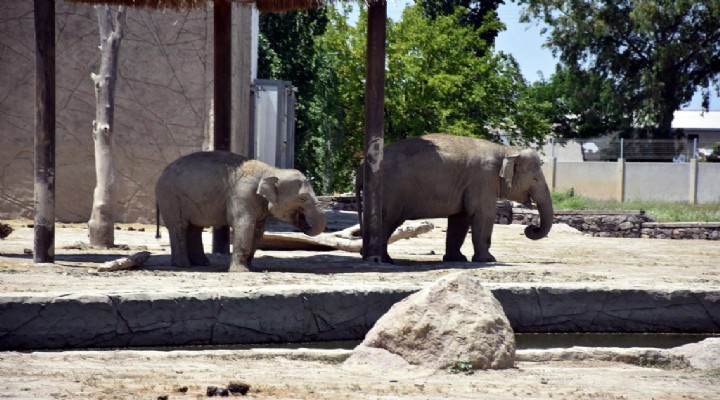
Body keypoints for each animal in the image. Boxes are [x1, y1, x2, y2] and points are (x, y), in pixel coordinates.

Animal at [158, 151, 330, 272]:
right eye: (303, 198)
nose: (304, 224)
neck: (271, 170)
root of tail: (162, 172)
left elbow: (258, 230)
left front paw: (251, 267)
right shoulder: (242, 194)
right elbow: (244, 224)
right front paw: (241, 271)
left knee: (195, 228)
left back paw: (201, 263)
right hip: (171, 198)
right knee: (179, 227)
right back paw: (182, 265)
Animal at [358, 134, 556, 264]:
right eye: (536, 179)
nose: (531, 228)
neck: (505, 150)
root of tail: (361, 168)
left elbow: (460, 218)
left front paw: (456, 259)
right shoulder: (483, 178)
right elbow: (483, 214)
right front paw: (488, 260)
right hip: (389, 190)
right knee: (388, 219)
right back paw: (384, 260)